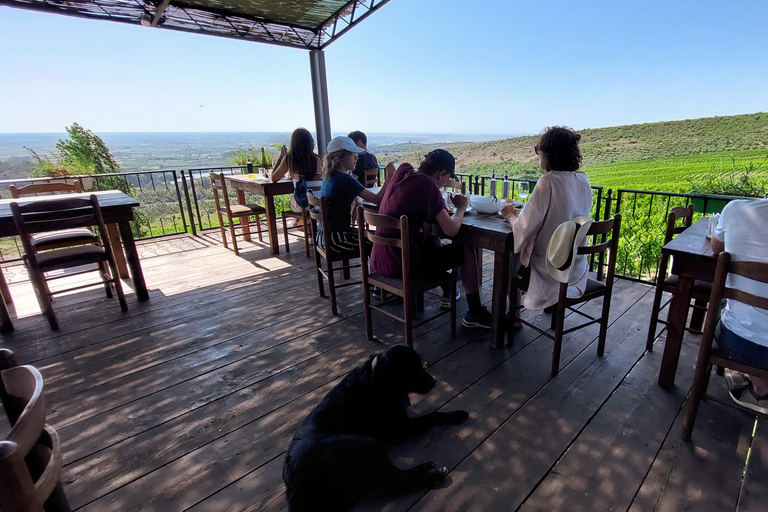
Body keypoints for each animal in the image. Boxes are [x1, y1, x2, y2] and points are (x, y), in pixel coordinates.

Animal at [284, 344, 468, 512]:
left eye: (419, 362)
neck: (377, 381)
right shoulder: (400, 429)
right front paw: (457, 414)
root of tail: (294, 486)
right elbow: (433, 415)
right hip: (366, 443)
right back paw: (432, 471)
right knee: (397, 483)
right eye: (408, 368)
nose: (433, 381)